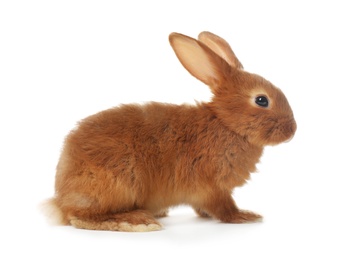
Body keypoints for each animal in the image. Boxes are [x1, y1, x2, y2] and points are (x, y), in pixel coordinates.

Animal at [44, 31, 298, 232]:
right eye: (261, 100)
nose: (292, 131)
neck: (225, 124)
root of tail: (61, 198)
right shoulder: (211, 187)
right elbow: (224, 208)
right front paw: (244, 216)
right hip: (118, 183)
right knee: (81, 217)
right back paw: (137, 221)